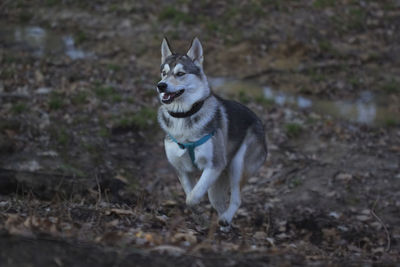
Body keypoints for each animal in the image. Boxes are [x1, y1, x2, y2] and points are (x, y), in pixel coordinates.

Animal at [157, 36, 268, 227]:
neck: (184, 117)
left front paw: (197, 208)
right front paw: (198, 216)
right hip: (220, 177)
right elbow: (190, 195)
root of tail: (259, 121)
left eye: (180, 74)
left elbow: (192, 197)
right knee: (218, 200)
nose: (161, 86)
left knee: (236, 199)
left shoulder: (214, 165)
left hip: (237, 165)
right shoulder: (181, 169)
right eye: (164, 73)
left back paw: (225, 219)